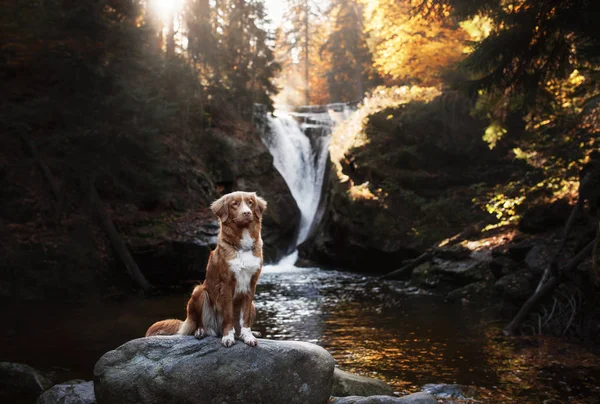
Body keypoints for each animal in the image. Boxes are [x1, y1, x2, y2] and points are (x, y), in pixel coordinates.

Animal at [144, 192, 266, 348]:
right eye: (235, 204)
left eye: (250, 203)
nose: (247, 213)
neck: (242, 247)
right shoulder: (227, 284)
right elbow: (228, 314)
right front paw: (228, 337)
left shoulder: (251, 284)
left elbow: (245, 317)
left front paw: (248, 336)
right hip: (199, 291)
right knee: (199, 323)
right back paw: (201, 331)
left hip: (253, 305)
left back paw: (246, 333)